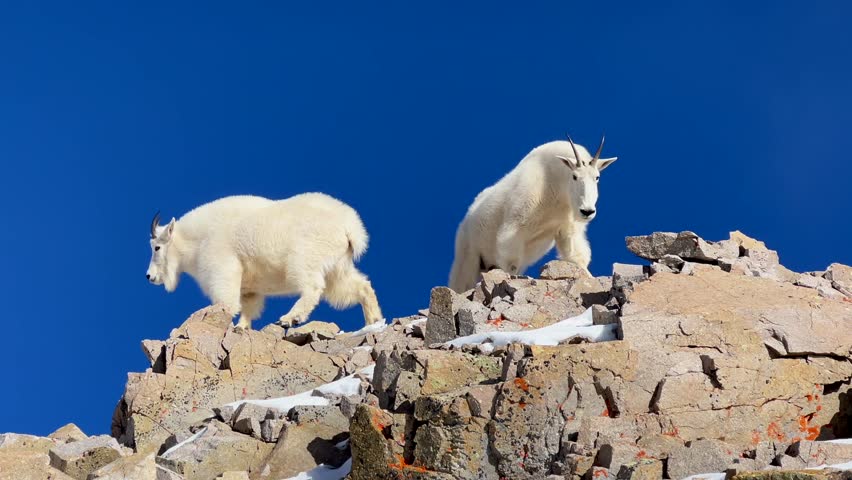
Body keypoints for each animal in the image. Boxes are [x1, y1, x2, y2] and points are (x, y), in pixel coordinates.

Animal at [146, 192, 382, 330]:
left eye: (156, 247)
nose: (149, 276)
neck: (196, 241)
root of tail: (350, 226)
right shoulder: (249, 287)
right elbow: (248, 306)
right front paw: (241, 327)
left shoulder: (222, 267)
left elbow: (227, 302)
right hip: (337, 266)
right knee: (360, 286)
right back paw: (374, 321)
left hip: (304, 258)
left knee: (312, 287)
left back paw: (290, 318)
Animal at [446, 135, 620, 292]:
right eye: (574, 176)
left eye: (597, 177)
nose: (587, 211)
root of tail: (467, 218)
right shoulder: (515, 226)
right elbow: (511, 262)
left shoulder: (566, 228)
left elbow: (576, 255)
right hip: (468, 254)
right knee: (462, 281)